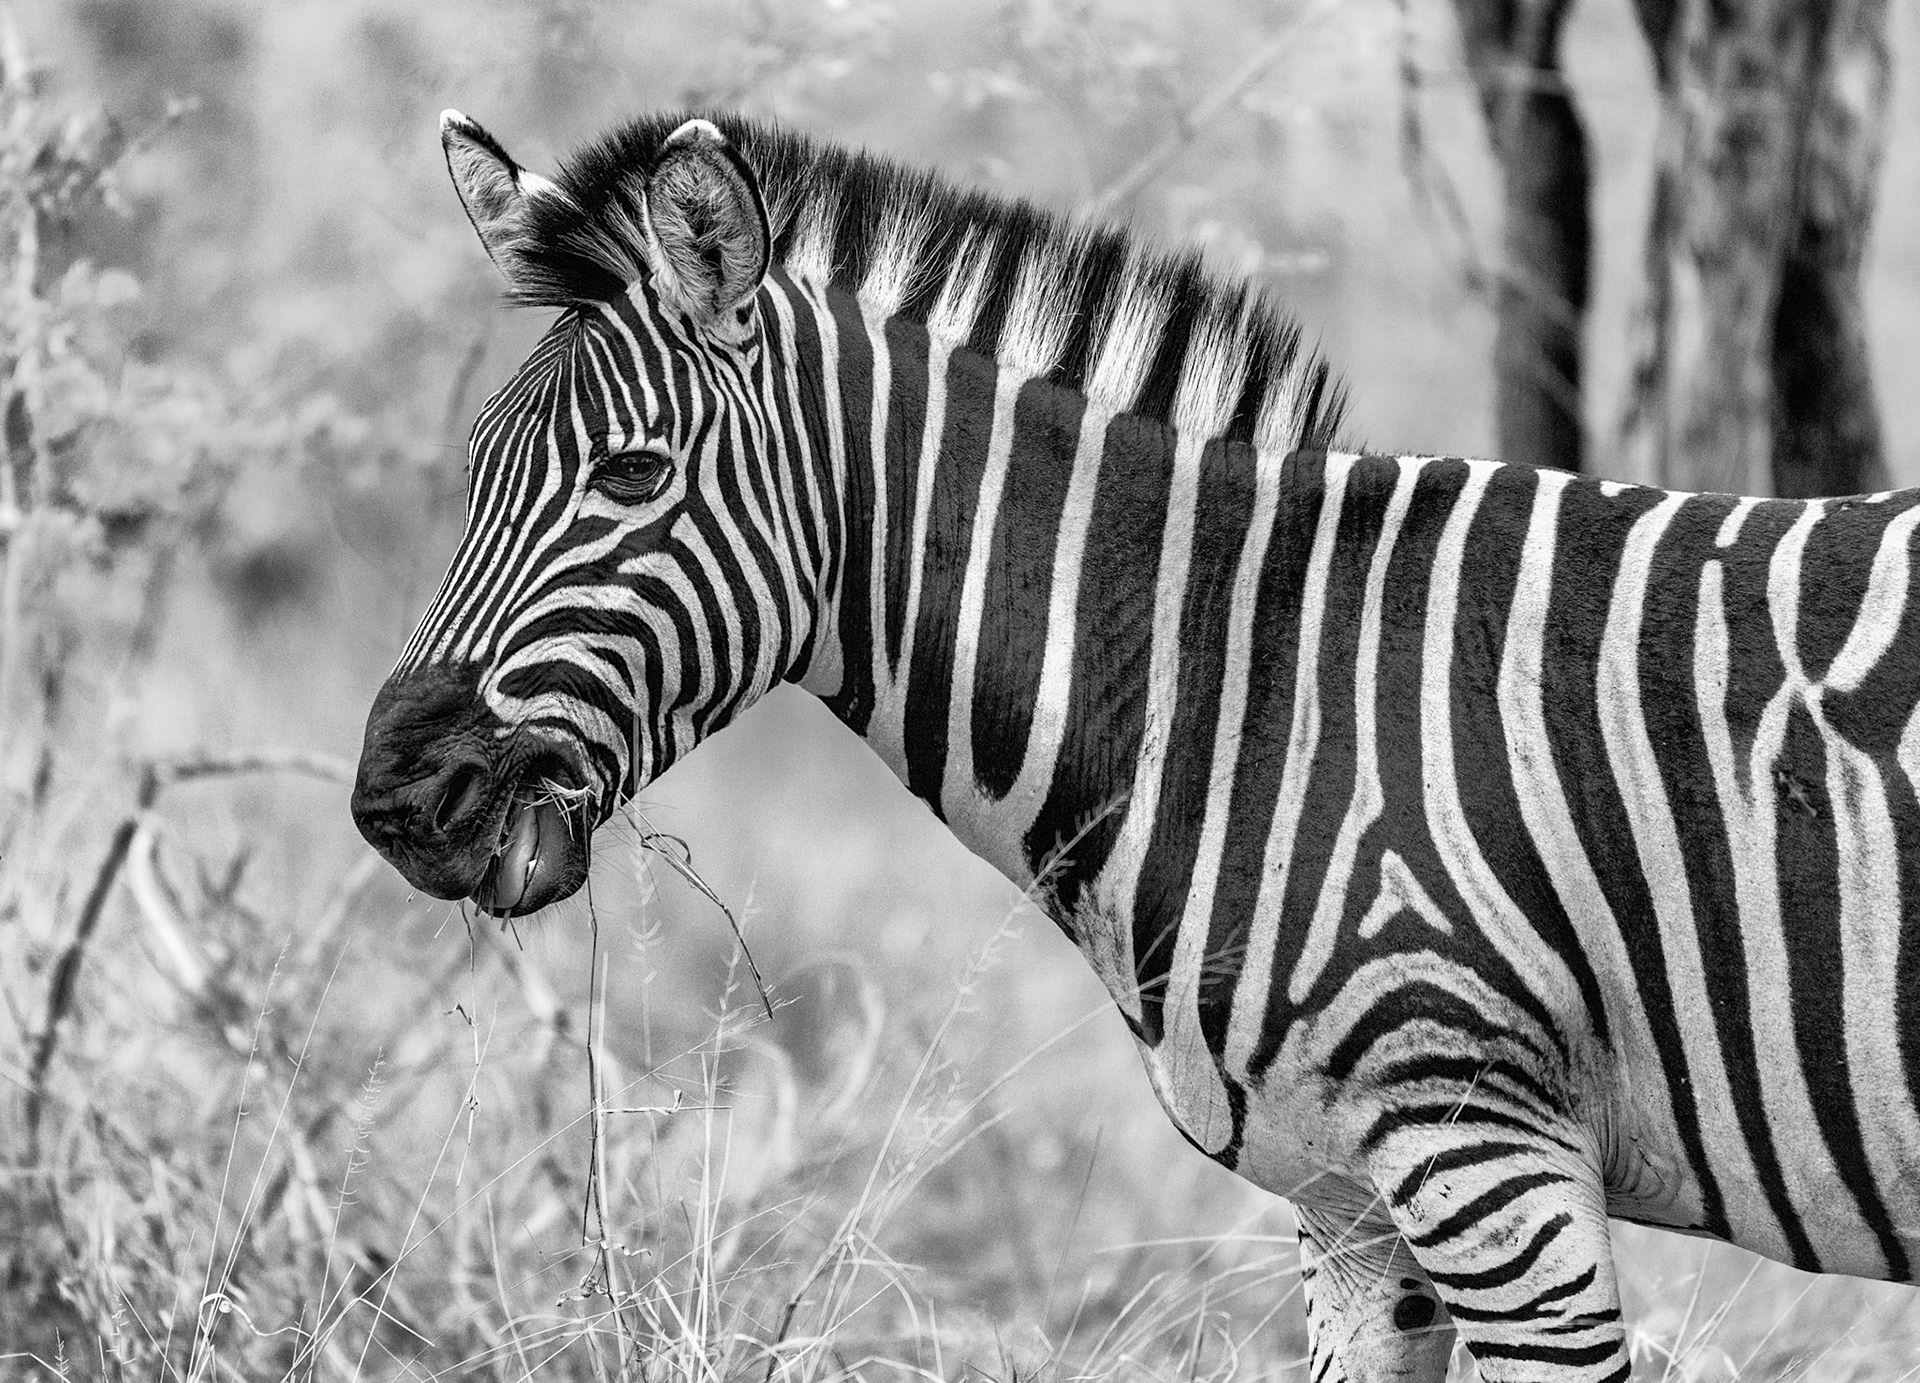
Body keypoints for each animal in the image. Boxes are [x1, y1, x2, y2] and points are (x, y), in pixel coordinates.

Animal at [350, 109, 1920, 1380]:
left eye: (631, 476)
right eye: (475, 471)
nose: (396, 800)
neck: (1240, 686)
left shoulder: (1488, 1156)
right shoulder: (1356, 1208)